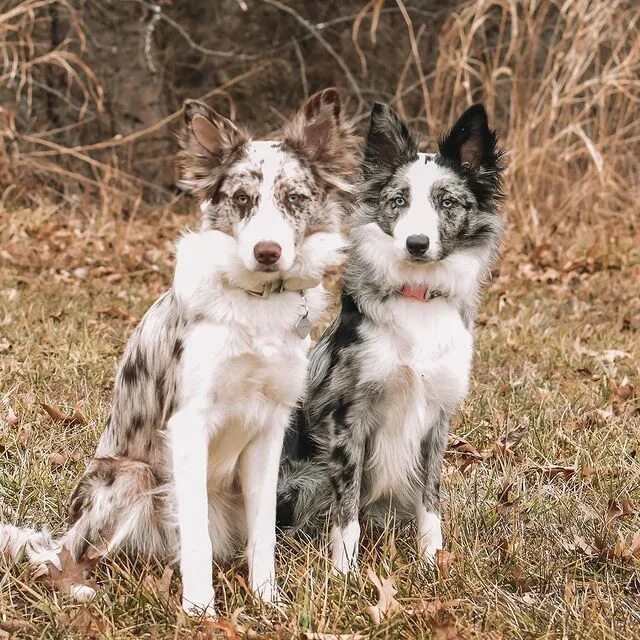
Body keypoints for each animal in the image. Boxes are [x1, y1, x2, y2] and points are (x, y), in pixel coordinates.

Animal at [0, 87, 358, 616]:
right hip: (129, 476)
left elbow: (263, 534)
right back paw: (81, 590)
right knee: (61, 559)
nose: (267, 252)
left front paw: (266, 600)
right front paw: (200, 611)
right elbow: (195, 538)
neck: (256, 303)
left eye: (295, 199)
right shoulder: (189, 423)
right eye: (242, 199)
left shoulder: (270, 429)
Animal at [278, 102, 504, 572]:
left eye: (447, 202)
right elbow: (346, 509)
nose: (416, 243)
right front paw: (343, 572)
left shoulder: (437, 418)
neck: (417, 296)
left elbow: (430, 499)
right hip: (304, 477)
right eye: (398, 201)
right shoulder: (349, 417)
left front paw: (432, 559)